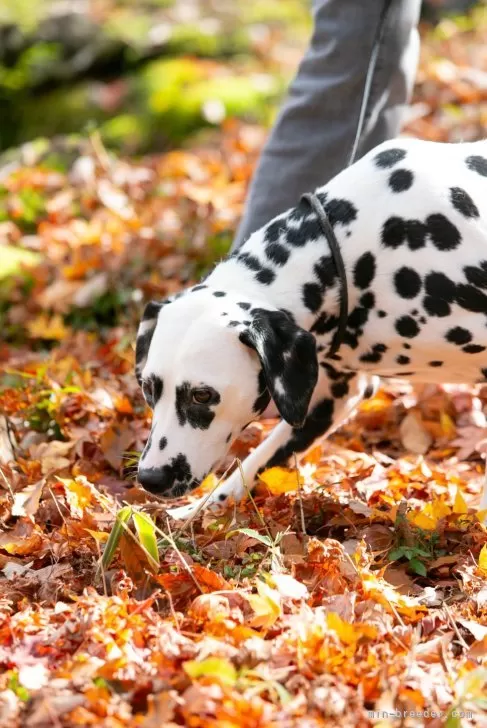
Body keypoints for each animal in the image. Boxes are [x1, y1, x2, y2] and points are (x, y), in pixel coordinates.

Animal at [135, 136, 487, 520]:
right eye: (148, 388)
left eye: (202, 395)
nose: (150, 478)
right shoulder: (329, 397)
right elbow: (256, 461)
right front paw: (195, 515)